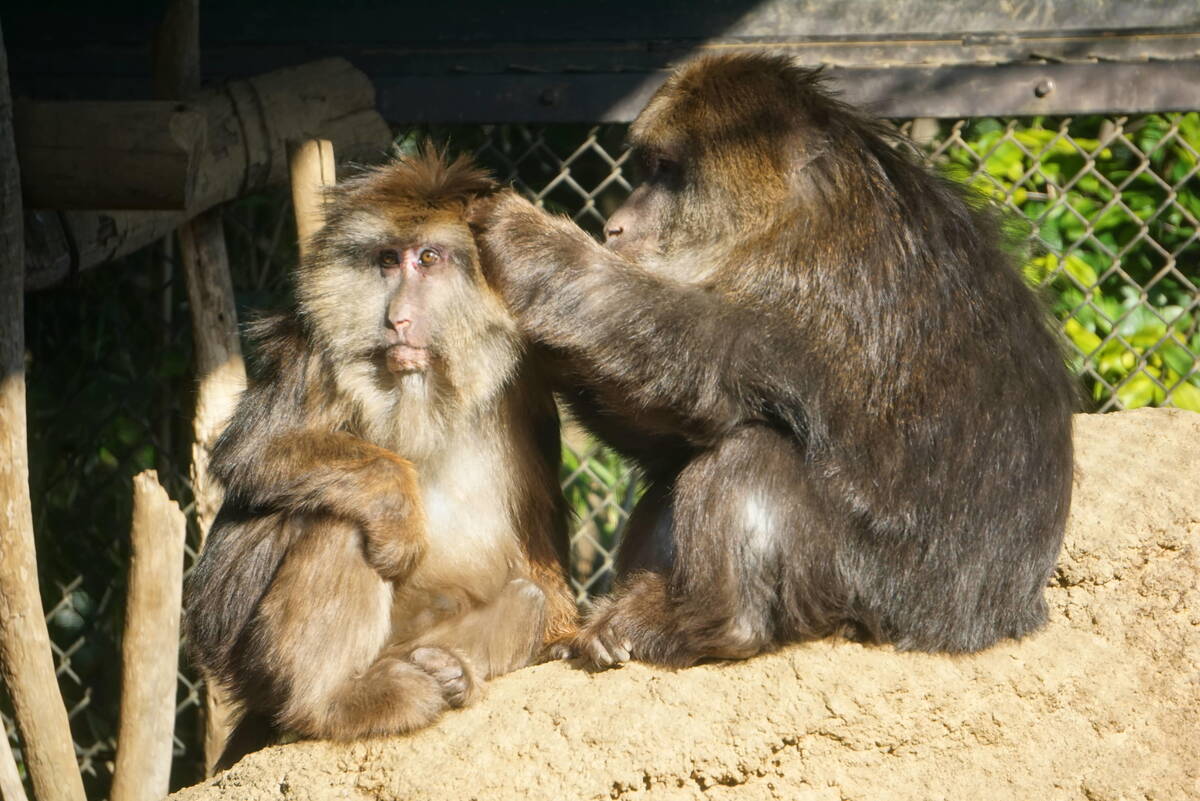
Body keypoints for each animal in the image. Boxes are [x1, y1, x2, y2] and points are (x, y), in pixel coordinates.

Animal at [184, 146, 578, 767]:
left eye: (429, 258)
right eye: (389, 260)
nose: (397, 318)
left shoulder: (530, 373)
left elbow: (539, 533)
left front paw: (563, 636)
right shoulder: (313, 352)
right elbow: (251, 455)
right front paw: (396, 502)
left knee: (527, 597)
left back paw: (447, 673)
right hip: (251, 663)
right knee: (341, 521)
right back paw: (334, 703)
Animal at [470, 53, 1080, 671]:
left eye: (665, 170)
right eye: (647, 169)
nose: (617, 224)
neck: (791, 209)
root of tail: (981, 625)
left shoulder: (817, 274)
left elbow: (708, 367)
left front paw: (531, 248)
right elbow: (667, 436)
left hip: (866, 588)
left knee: (753, 450)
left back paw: (712, 626)